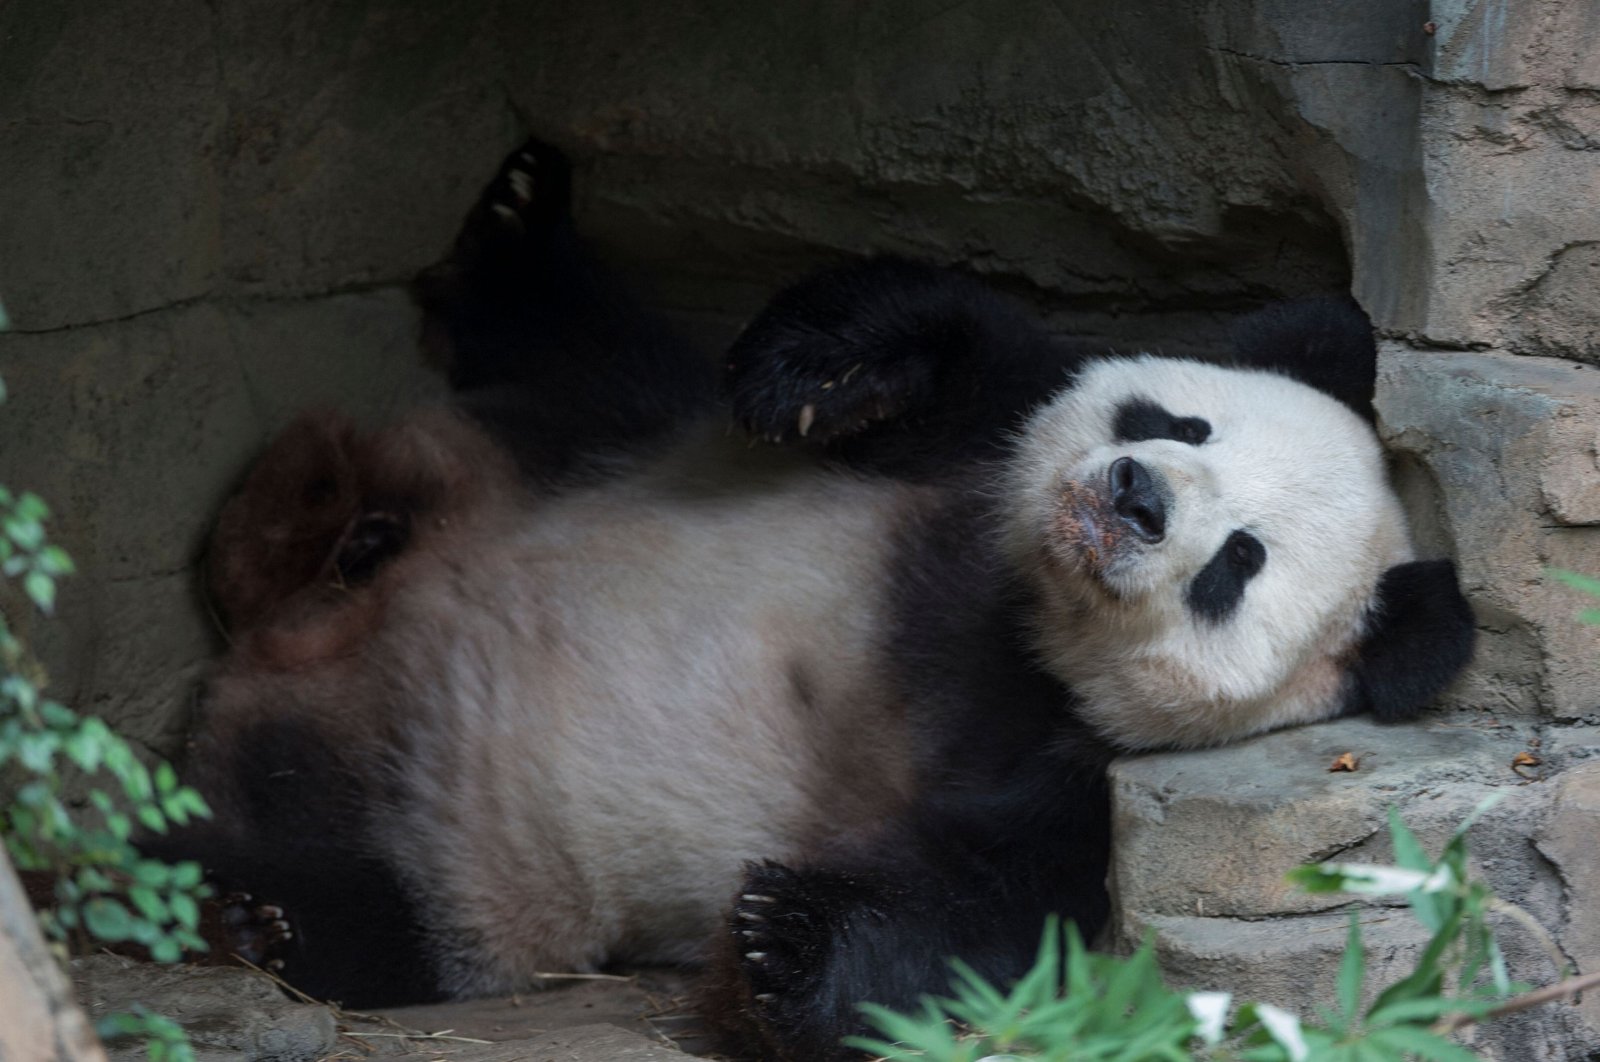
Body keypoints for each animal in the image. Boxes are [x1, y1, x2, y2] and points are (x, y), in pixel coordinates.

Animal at [162, 140, 1472, 1062]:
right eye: (1178, 422)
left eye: (1236, 564)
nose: (1136, 496)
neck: (1018, 613)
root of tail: (267, 673)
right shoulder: (982, 434)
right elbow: (953, 329)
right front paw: (812, 377)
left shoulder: (1086, 770)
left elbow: (984, 910)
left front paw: (774, 943)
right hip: (598, 450)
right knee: (587, 354)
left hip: (474, 867)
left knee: (370, 912)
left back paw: (231, 909)